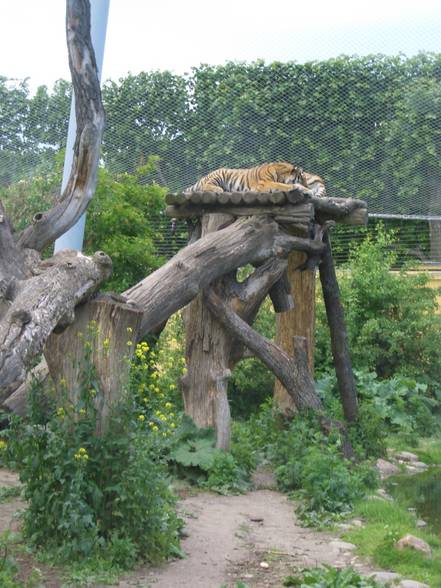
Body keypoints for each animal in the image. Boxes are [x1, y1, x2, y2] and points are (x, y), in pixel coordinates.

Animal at [184, 161, 324, 198]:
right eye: (302, 178)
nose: (307, 185)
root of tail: (204, 177)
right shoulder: (265, 184)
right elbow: (284, 186)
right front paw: (305, 189)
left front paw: (308, 190)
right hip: (219, 174)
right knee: (205, 186)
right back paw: (218, 189)